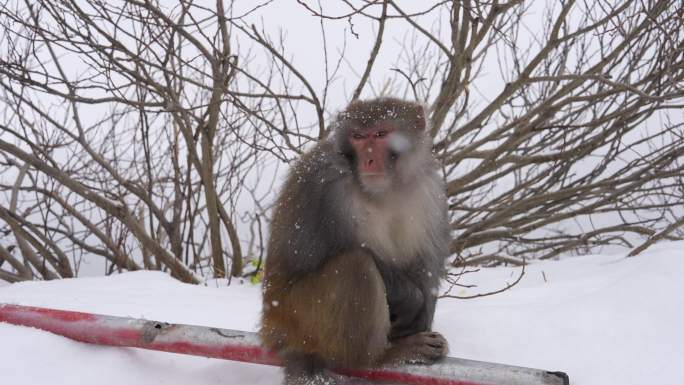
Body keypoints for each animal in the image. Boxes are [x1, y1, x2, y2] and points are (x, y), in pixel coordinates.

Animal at [260, 97, 448, 382]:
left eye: (381, 134)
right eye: (358, 137)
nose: (368, 160)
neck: (387, 189)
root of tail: (273, 327)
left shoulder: (430, 192)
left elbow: (426, 261)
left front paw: (420, 315)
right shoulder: (324, 184)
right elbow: (314, 255)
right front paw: (413, 300)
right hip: (297, 316)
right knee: (356, 267)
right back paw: (383, 356)